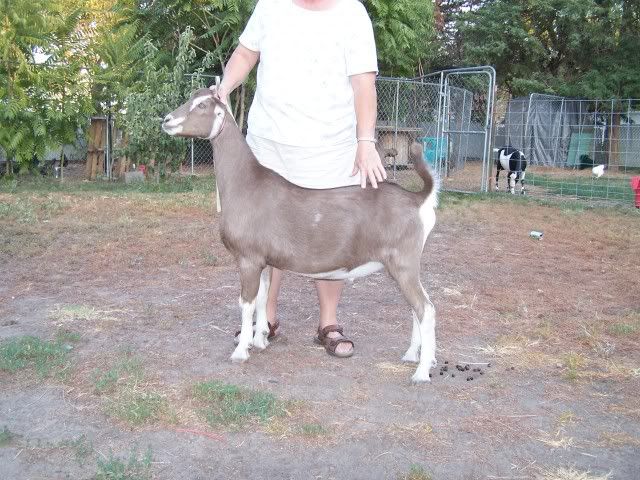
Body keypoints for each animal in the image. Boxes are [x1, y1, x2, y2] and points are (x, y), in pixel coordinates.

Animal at [162, 87, 439, 383]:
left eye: (202, 105)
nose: (166, 120)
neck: (245, 184)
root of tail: (418, 199)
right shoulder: (263, 261)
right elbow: (263, 297)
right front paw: (260, 339)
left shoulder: (247, 258)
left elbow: (246, 302)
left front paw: (240, 351)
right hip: (402, 266)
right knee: (417, 308)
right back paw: (412, 356)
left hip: (403, 262)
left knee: (425, 309)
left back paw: (421, 372)